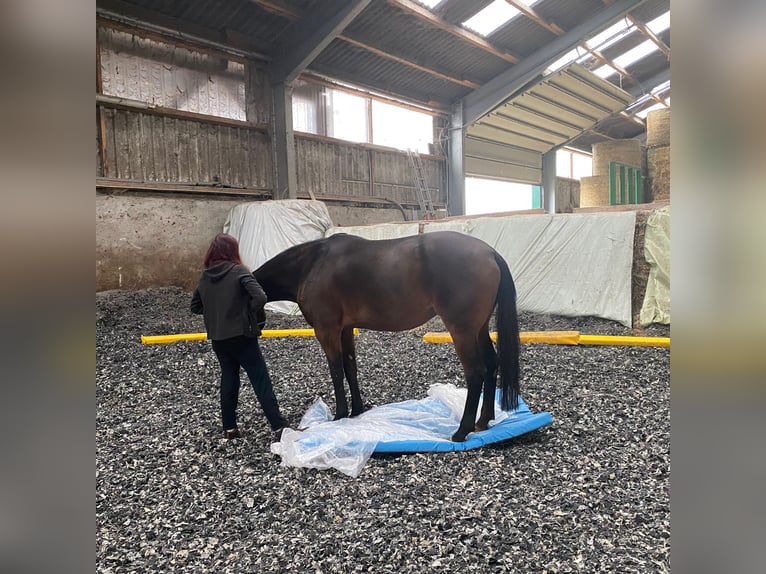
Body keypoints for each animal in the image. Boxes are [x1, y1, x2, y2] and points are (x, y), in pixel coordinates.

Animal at [252, 232, 520, 444]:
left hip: (461, 330)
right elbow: (350, 367)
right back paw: (483, 421)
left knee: (475, 372)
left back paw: (461, 431)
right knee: (491, 364)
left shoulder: (326, 330)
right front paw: (356, 411)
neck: (312, 264)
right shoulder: (346, 329)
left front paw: (339, 415)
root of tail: (490, 253)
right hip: (479, 328)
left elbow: (336, 370)